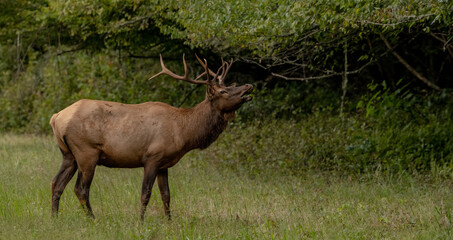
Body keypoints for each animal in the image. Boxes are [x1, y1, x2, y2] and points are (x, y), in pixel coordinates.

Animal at [50, 55, 254, 220]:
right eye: (223, 91)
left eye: (229, 85)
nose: (248, 85)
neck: (183, 132)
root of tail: (56, 118)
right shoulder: (152, 157)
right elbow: (145, 194)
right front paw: (141, 221)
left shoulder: (164, 164)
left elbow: (166, 195)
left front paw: (169, 221)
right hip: (86, 152)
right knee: (81, 189)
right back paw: (93, 219)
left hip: (68, 154)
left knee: (56, 183)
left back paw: (55, 217)